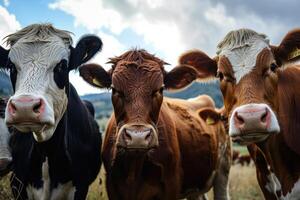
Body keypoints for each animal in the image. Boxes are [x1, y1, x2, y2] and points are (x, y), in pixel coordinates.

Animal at [78, 48, 231, 200]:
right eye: (115, 89)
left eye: (160, 89)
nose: (137, 137)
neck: (134, 169)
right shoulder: (112, 186)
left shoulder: (172, 185)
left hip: (223, 169)